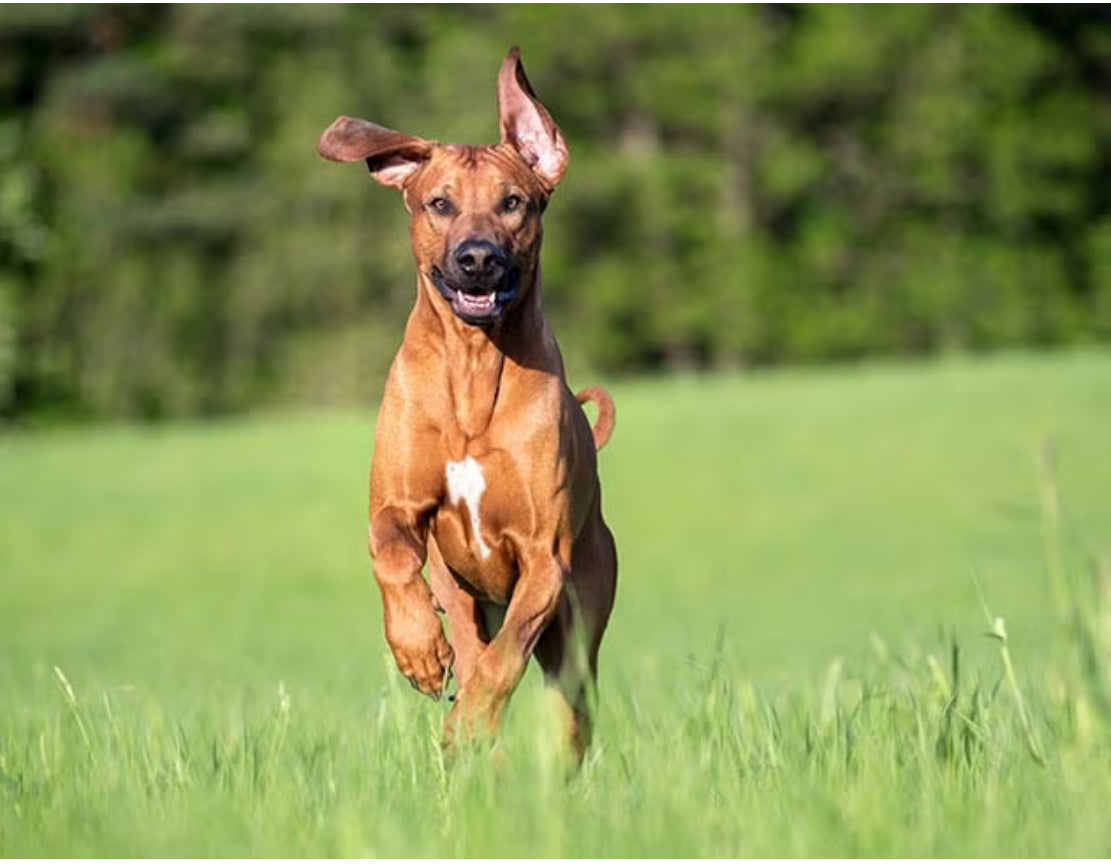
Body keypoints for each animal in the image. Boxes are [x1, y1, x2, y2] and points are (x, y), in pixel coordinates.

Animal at [319, 50, 617, 759]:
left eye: (514, 203)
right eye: (439, 203)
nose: (477, 258)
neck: (474, 370)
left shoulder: (544, 558)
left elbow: (504, 659)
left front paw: (471, 721)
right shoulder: (395, 506)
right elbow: (393, 557)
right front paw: (418, 652)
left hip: (580, 631)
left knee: (559, 701)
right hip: (465, 595)